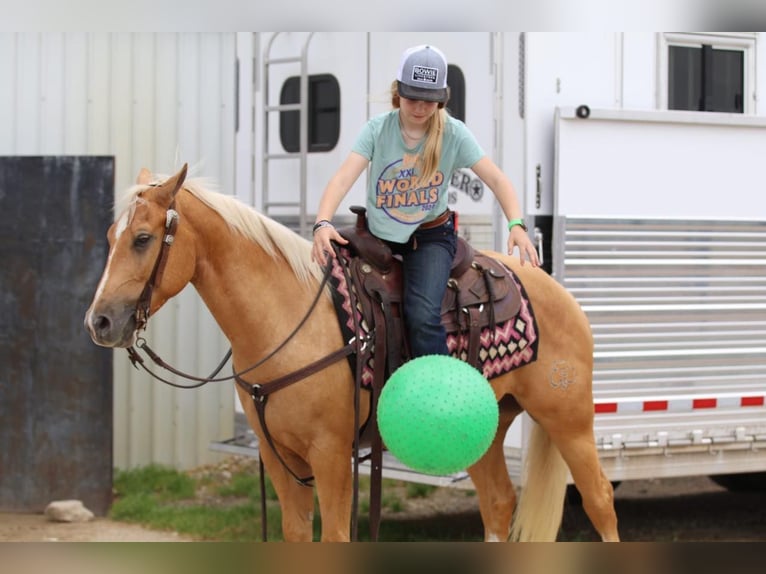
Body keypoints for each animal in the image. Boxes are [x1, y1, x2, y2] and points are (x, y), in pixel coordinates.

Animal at [85, 164, 624, 544]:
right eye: (111, 238)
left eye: (143, 239)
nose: (99, 322)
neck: (286, 318)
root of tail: (555, 290)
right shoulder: (279, 459)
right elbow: (297, 535)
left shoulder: (330, 456)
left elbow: (336, 536)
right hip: (486, 429)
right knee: (498, 503)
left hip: (568, 418)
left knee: (599, 499)